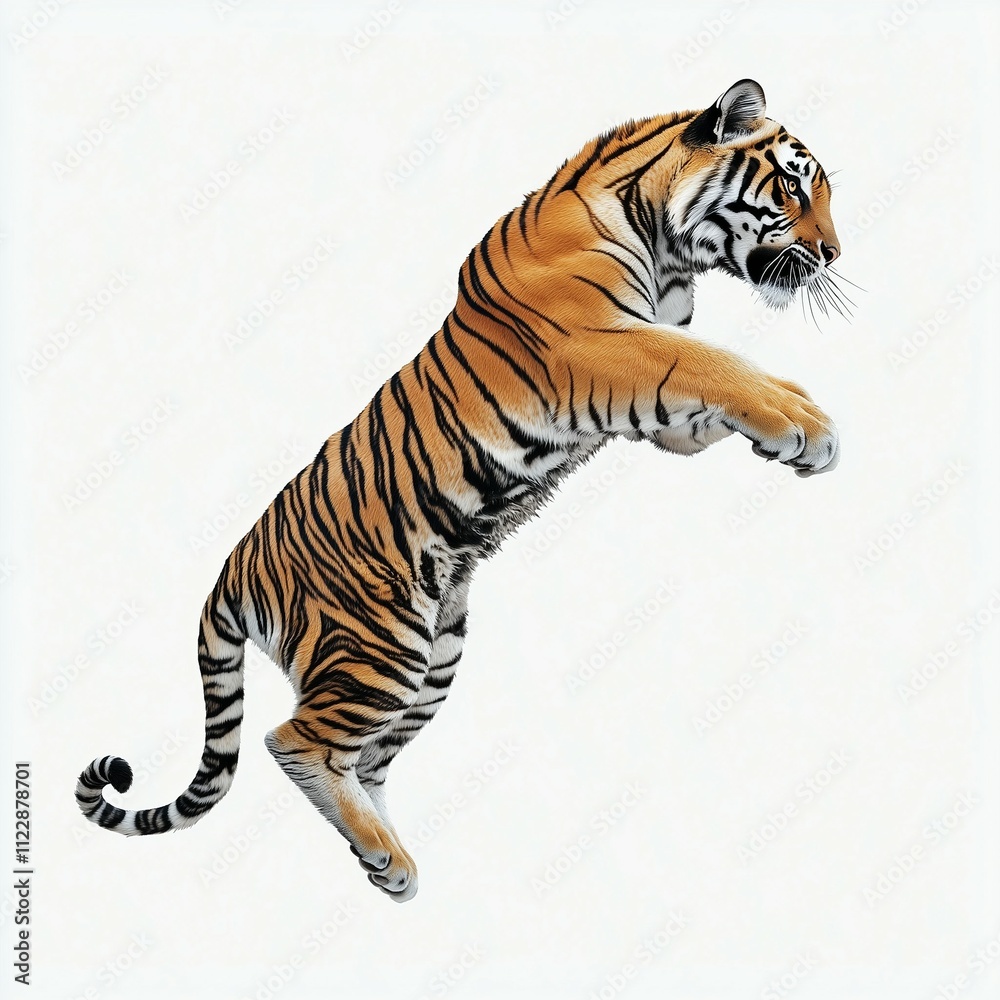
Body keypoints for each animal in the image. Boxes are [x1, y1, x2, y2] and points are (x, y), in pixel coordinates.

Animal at [77, 79, 846, 902]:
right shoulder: (599, 348)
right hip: (379, 646)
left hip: (434, 656)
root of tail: (231, 570)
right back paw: (383, 853)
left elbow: (717, 393)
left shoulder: (650, 409)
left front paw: (785, 430)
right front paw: (810, 426)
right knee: (295, 739)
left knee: (363, 757)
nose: (834, 252)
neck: (669, 249)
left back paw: (389, 859)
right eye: (793, 186)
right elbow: (714, 363)